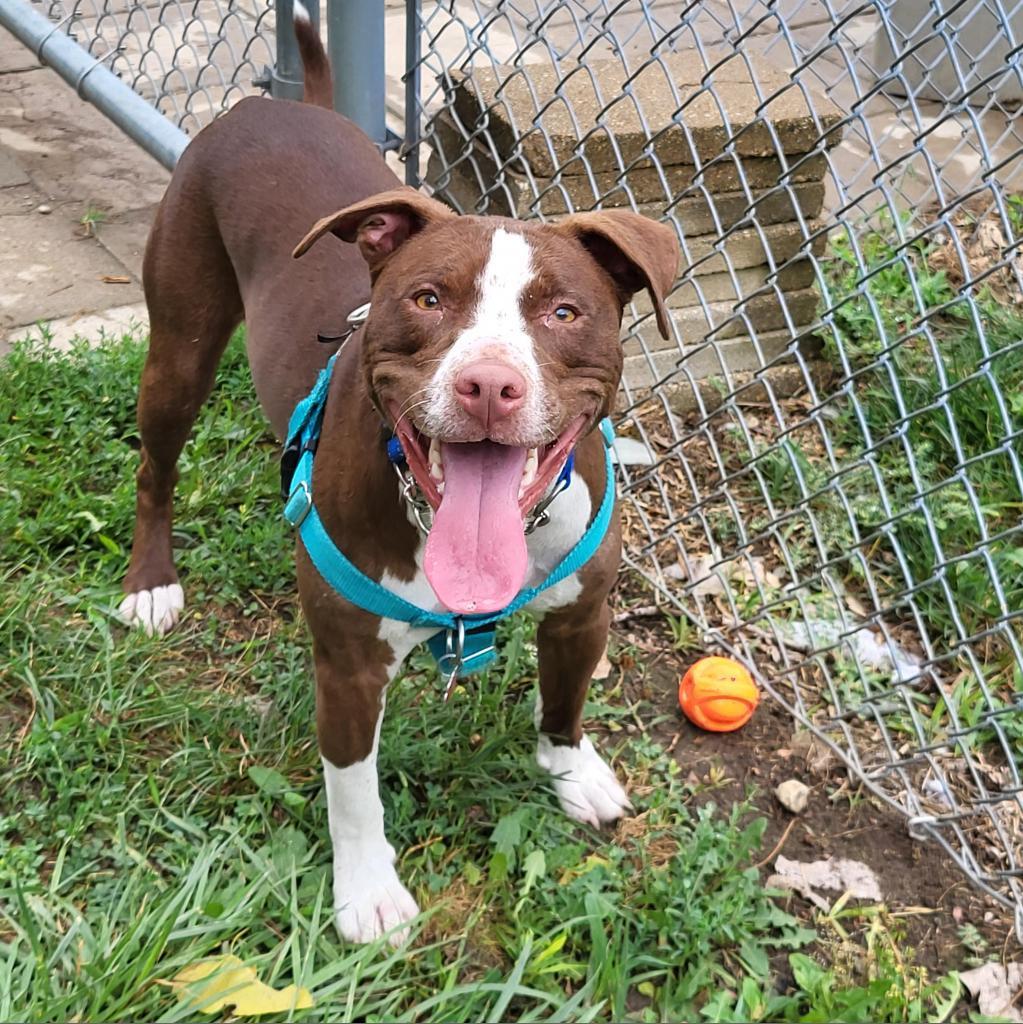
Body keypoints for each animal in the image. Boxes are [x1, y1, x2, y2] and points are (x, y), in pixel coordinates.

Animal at [119, 14, 679, 942]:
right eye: (426, 299)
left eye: (563, 313)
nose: (488, 384)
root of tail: (277, 106)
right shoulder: (348, 668)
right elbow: (353, 793)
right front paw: (367, 892)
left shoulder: (582, 613)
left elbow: (563, 702)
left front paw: (571, 770)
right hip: (179, 347)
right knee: (154, 469)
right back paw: (150, 583)